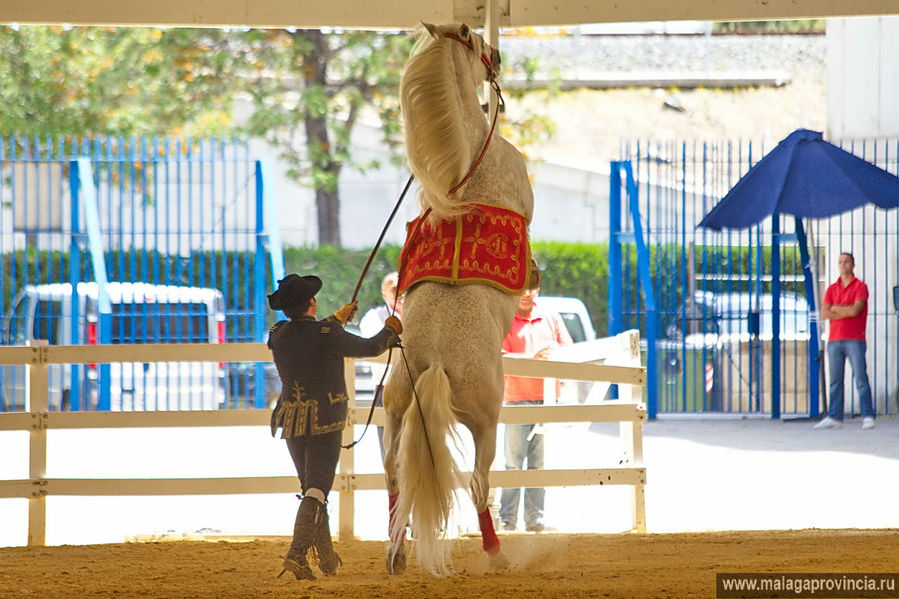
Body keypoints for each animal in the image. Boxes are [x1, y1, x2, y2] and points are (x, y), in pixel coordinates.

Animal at [382, 23, 536, 576]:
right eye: (473, 43)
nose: (497, 55)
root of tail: (434, 363)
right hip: (487, 422)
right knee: (477, 483)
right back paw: (495, 554)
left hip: (393, 415)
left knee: (394, 475)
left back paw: (395, 553)